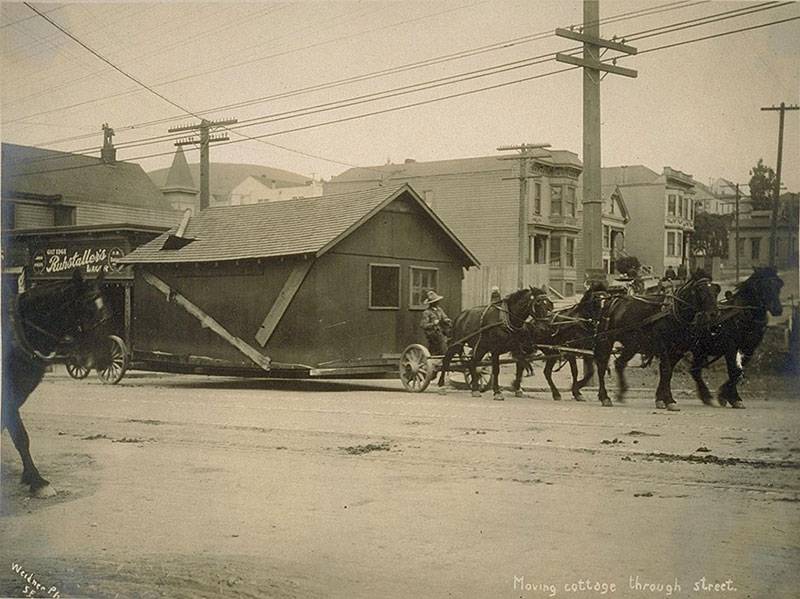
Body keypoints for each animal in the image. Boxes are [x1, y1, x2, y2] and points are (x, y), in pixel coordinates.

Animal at [1, 272, 109, 496]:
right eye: (86, 310)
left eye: (107, 311)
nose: (105, 359)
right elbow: (19, 435)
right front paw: (36, 480)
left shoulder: (15, 394)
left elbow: (20, 436)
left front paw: (35, 479)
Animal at [592, 270, 720, 410]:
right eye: (700, 290)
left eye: (716, 290)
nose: (713, 314)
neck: (673, 312)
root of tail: (613, 300)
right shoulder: (662, 345)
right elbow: (666, 370)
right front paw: (666, 400)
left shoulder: (677, 351)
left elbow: (667, 373)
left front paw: (664, 399)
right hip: (606, 340)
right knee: (602, 366)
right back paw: (604, 397)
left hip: (633, 345)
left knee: (619, 363)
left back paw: (620, 393)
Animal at [688, 266, 780, 408]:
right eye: (764, 285)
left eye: (779, 285)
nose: (778, 309)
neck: (744, 315)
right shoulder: (731, 347)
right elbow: (733, 371)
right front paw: (734, 398)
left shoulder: (749, 349)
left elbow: (738, 372)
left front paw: (726, 395)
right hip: (698, 350)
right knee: (694, 370)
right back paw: (706, 395)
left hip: (701, 350)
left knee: (694, 370)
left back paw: (706, 396)